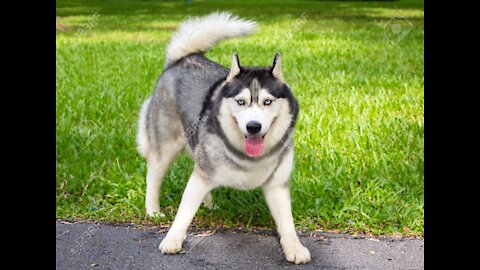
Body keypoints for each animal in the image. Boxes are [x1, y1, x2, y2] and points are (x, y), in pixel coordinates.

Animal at [137, 12, 310, 264]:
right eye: (241, 101)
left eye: (268, 101)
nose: (253, 127)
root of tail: (185, 57)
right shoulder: (200, 174)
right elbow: (183, 212)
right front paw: (172, 240)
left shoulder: (277, 184)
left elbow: (287, 222)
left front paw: (294, 248)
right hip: (165, 145)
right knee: (154, 175)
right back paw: (153, 210)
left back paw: (208, 205)